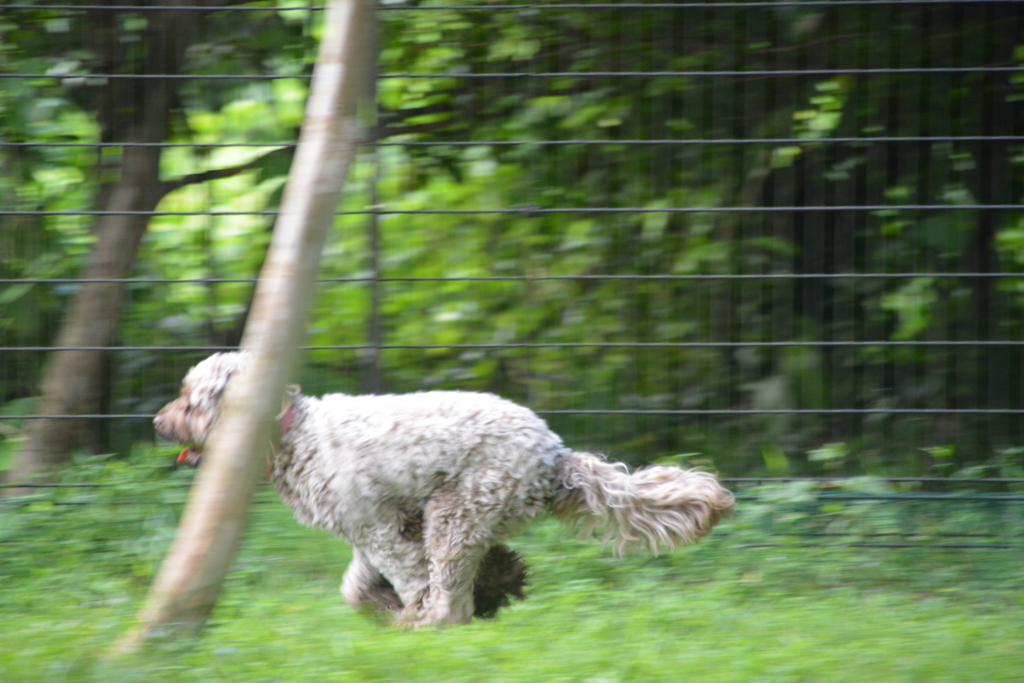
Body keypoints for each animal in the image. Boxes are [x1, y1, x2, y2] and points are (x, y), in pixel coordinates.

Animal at [155, 356, 733, 626]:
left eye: (189, 399)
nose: (157, 422)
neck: (292, 434)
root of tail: (555, 454)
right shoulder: (376, 528)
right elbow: (356, 586)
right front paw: (382, 606)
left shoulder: (379, 529)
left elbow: (410, 579)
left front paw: (407, 612)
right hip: (459, 516)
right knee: (467, 573)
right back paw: (496, 587)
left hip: (456, 513)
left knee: (450, 594)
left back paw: (435, 623)